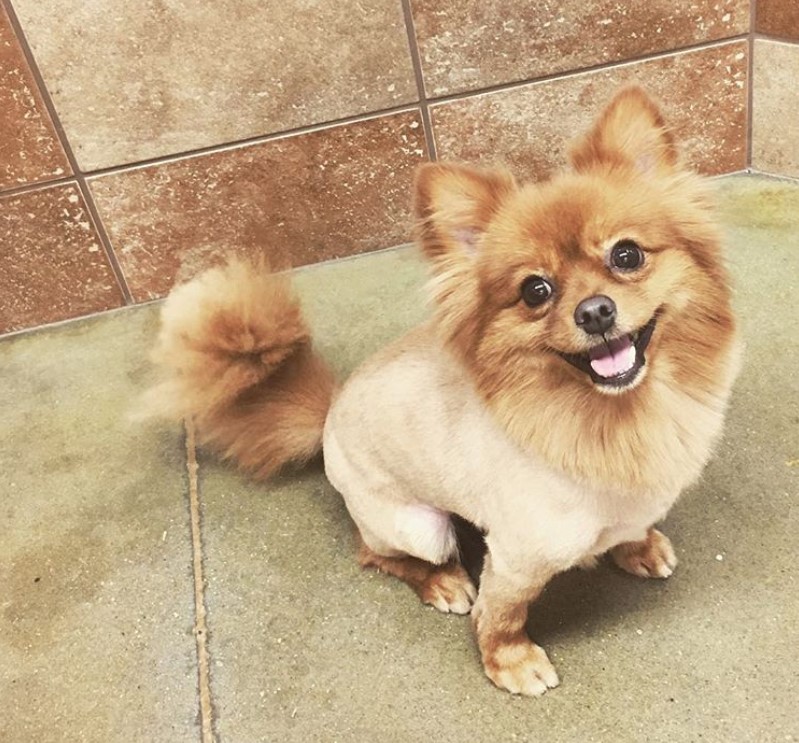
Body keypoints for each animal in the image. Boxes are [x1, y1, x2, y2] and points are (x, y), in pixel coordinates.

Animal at [147, 87, 740, 696]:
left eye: (627, 255)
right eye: (535, 290)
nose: (595, 312)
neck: (620, 416)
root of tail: (330, 413)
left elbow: (630, 527)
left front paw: (638, 547)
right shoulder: (517, 556)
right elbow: (502, 615)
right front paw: (510, 662)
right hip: (419, 527)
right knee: (374, 554)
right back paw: (444, 583)